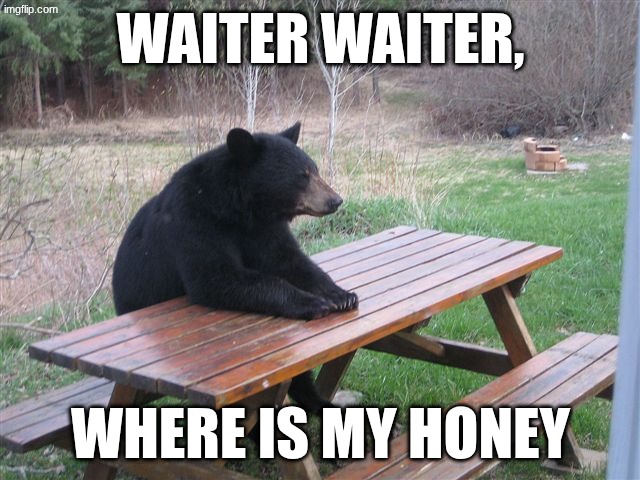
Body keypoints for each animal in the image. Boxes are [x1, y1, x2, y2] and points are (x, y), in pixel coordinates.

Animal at [112, 122, 358, 413]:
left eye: (314, 169)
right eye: (302, 175)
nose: (336, 200)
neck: (240, 209)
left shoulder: (263, 229)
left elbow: (289, 261)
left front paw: (341, 295)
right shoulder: (193, 222)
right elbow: (217, 277)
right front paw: (313, 302)